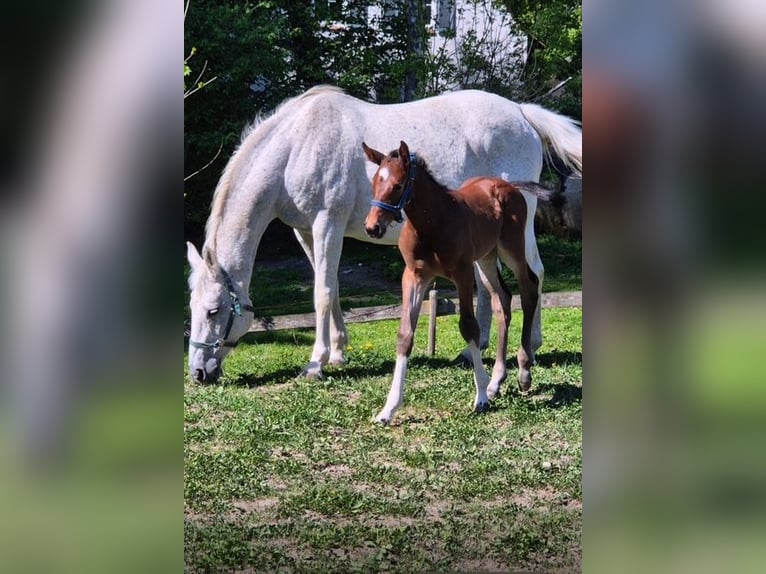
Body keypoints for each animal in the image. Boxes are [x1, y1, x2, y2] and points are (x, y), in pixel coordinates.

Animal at [187, 85, 581, 384]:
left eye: (213, 310)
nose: (198, 373)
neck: (296, 145)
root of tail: (521, 112)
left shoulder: (327, 223)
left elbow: (321, 293)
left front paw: (316, 363)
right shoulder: (305, 232)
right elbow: (331, 287)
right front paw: (338, 352)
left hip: (520, 228)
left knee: (534, 274)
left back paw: (532, 345)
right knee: (491, 289)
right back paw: (475, 349)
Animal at [363, 140, 555, 423]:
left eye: (398, 185)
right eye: (375, 181)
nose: (372, 227)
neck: (431, 225)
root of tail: (508, 185)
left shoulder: (462, 274)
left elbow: (469, 326)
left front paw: (481, 398)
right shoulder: (413, 276)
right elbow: (405, 334)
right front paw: (388, 409)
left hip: (511, 249)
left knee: (529, 286)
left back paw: (523, 372)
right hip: (486, 258)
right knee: (503, 299)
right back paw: (497, 380)